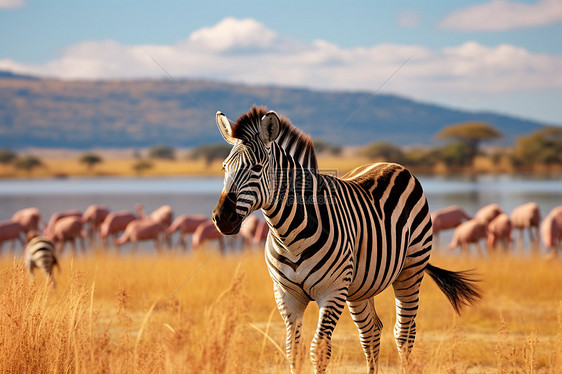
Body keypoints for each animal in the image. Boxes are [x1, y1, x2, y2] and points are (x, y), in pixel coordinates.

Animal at [212, 106, 480, 374]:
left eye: (257, 168)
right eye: (224, 168)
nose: (221, 218)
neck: (289, 236)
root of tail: (391, 163)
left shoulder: (332, 291)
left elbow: (319, 349)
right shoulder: (286, 294)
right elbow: (293, 351)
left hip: (411, 270)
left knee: (404, 333)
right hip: (361, 286)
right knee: (371, 332)